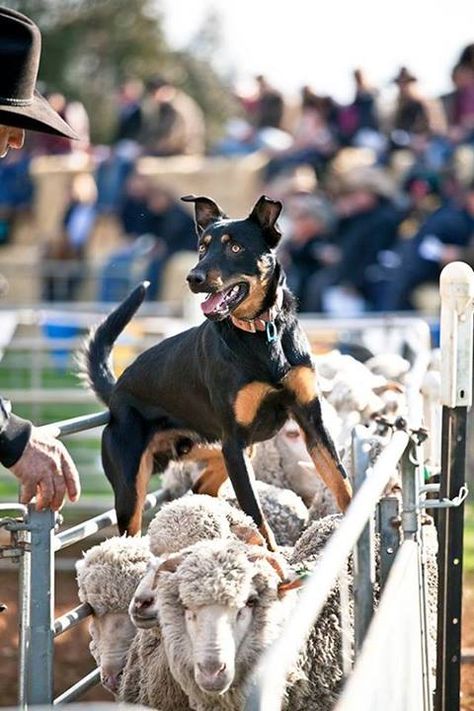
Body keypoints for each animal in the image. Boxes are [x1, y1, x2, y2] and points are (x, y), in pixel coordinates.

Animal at [81, 195, 350, 552]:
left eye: (235, 247)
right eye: (202, 248)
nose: (193, 277)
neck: (261, 332)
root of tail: (118, 390)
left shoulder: (310, 420)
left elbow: (340, 479)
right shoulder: (234, 441)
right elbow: (255, 511)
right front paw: (270, 553)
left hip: (218, 447)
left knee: (200, 488)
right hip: (133, 484)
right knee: (134, 524)